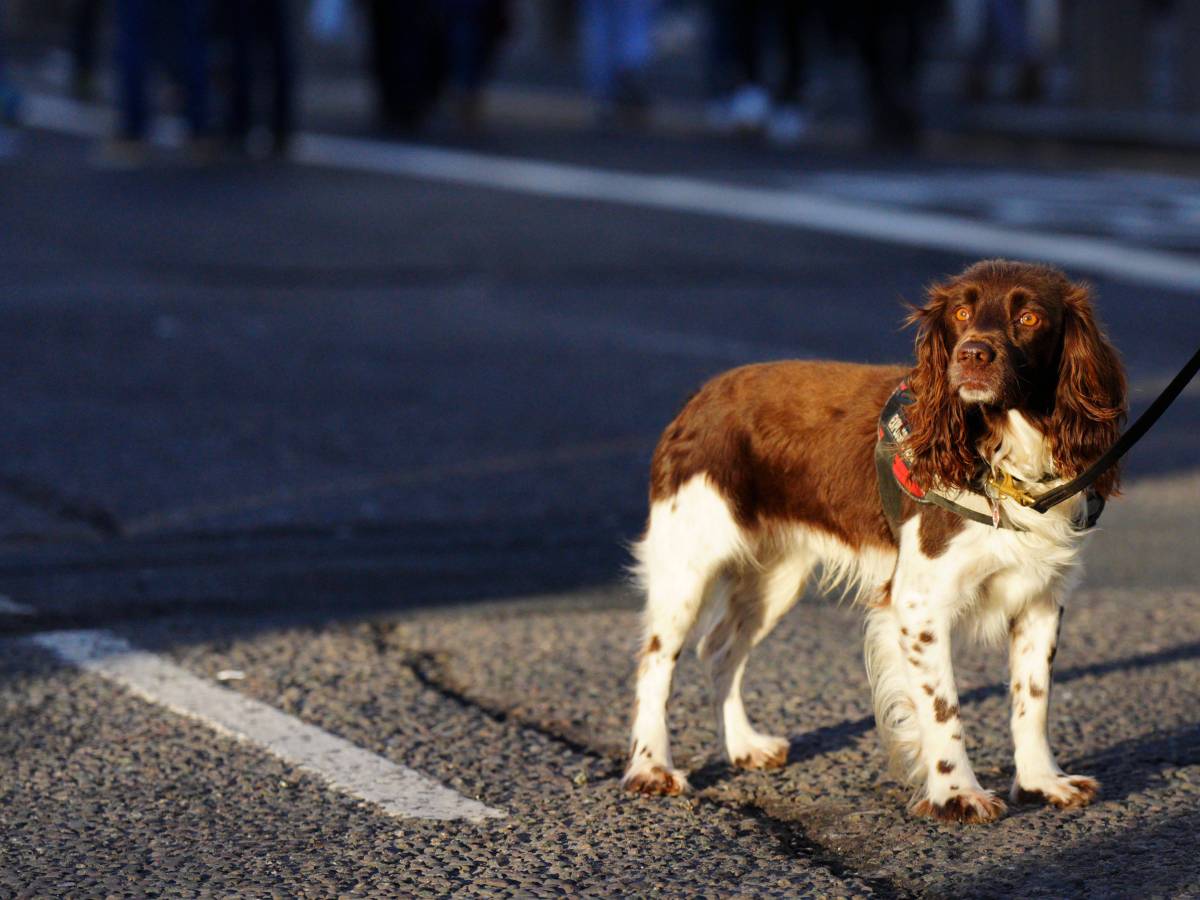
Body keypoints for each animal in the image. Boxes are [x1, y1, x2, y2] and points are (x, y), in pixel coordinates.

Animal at [624, 259, 1128, 825]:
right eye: (961, 313)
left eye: (1029, 317)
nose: (972, 354)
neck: (1003, 456)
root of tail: (699, 397)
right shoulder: (918, 604)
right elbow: (943, 707)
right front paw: (956, 794)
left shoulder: (1042, 596)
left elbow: (1033, 699)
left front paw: (1043, 782)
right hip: (687, 562)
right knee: (656, 663)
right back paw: (650, 767)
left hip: (775, 577)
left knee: (719, 650)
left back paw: (743, 745)